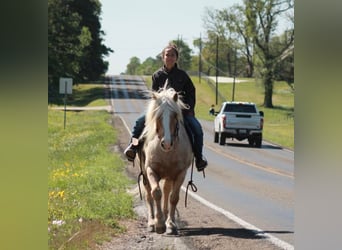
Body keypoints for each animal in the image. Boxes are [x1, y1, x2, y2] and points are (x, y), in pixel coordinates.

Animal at [138, 86, 192, 234]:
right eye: (158, 116)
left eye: (174, 116)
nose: (167, 144)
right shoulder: (150, 170)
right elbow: (156, 193)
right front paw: (159, 224)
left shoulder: (180, 173)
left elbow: (174, 197)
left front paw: (171, 224)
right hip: (144, 173)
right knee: (148, 194)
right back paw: (151, 222)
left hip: (169, 176)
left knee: (167, 191)